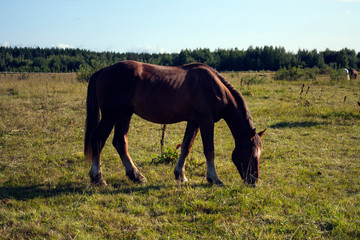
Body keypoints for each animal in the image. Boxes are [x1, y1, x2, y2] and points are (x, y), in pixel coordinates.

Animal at [83, 59, 264, 186]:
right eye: (251, 153)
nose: (253, 182)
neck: (214, 87)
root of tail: (102, 71)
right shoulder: (206, 121)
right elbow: (209, 149)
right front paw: (214, 178)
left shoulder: (194, 122)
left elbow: (186, 147)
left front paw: (180, 175)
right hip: (111, 116)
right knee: (98, 141)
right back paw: (98, 178)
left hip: (124, 115)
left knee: (120, 142)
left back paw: (136, 176)